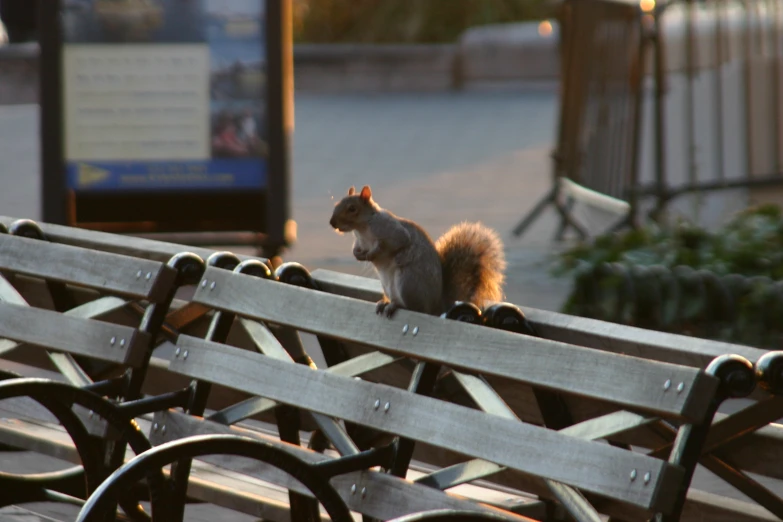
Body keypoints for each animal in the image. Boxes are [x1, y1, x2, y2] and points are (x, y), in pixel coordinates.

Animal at [328, 185, 506, 318]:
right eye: (336, 204)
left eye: (352, 208)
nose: (332, 222)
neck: (362, 229)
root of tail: (436, 306)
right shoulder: (360, 242)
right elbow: (356, 249)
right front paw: (358, 255)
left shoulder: (391, 231)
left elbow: (394, 243)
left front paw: (373, 254)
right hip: (389, 286)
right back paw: (385, 303)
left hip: (407, 282)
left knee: (416, 309)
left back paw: (396, 306)